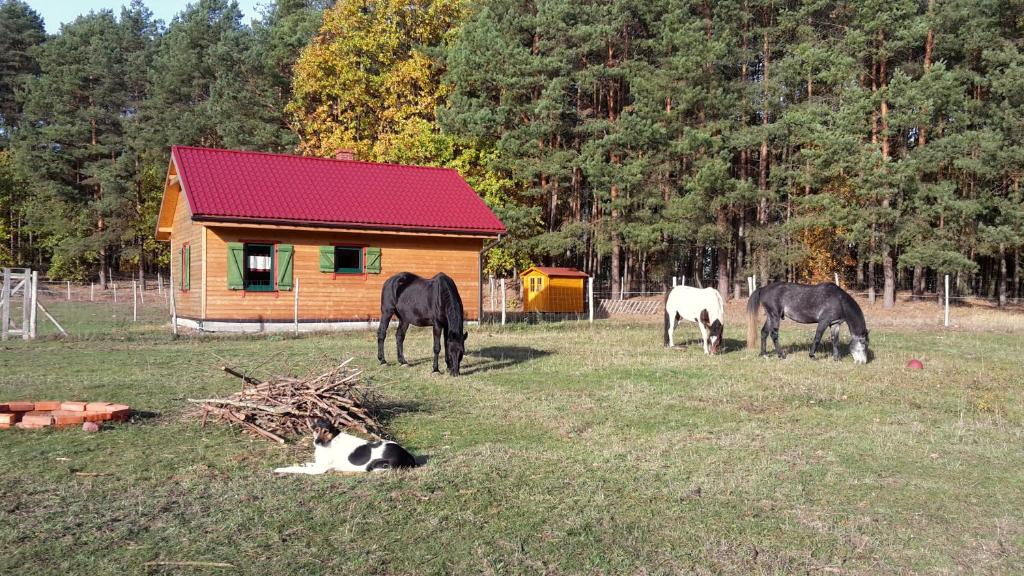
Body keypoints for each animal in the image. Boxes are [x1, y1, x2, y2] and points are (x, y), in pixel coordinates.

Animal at [274, 416, 417, 471]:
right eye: (316, 430)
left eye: (326, 431)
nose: (317, 442)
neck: (330, 441)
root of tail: (408, 455)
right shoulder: (318, 464)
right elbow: (305, 464)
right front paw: (301, 463)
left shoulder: (319, 470)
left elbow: (296, 469)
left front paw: (280, 469)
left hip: (378, 465)